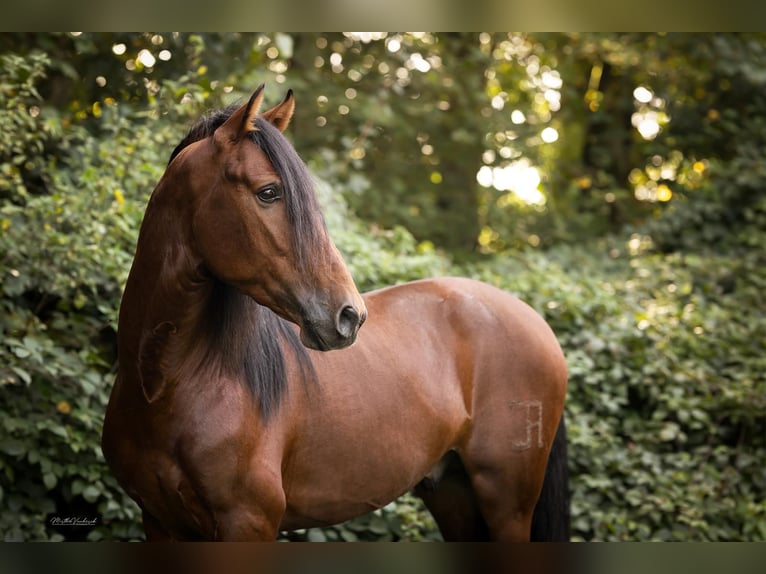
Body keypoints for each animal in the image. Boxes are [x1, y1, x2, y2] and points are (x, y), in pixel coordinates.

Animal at [102, 83, 568, 544]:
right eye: (268, 192)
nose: (349, 315)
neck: (165, 387)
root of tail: (535, 319)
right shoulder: (160, 523)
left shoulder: (247, 522)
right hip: (454, 496)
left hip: (506, 504)